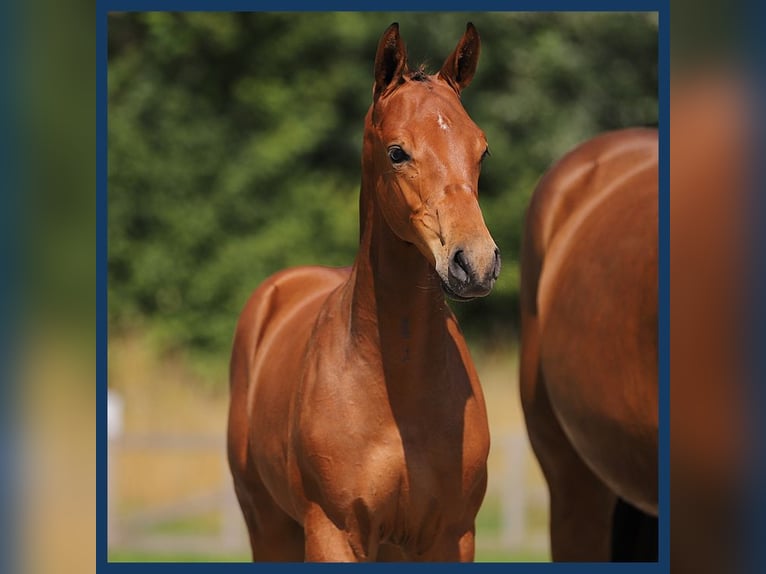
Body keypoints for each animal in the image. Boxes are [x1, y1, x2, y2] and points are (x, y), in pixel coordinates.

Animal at [226, 24, 504, 564]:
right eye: (397, 152)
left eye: (481, 150)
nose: (475, 263)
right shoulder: (334, 532)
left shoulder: (451, 536)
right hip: (269, 527)